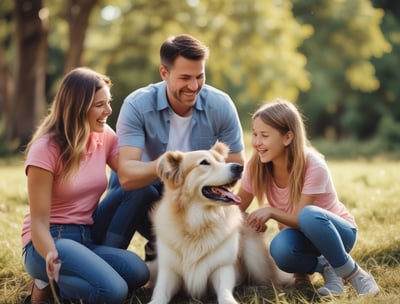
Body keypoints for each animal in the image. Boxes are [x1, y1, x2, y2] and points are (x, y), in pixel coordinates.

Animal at [148, 142, 282, 304]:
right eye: (204, 163)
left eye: (222, 161)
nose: (239, 167)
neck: (198, 222)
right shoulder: (169, 271)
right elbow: (159, 293)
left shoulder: (222, 268)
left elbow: (224, 292)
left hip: (253, 253)